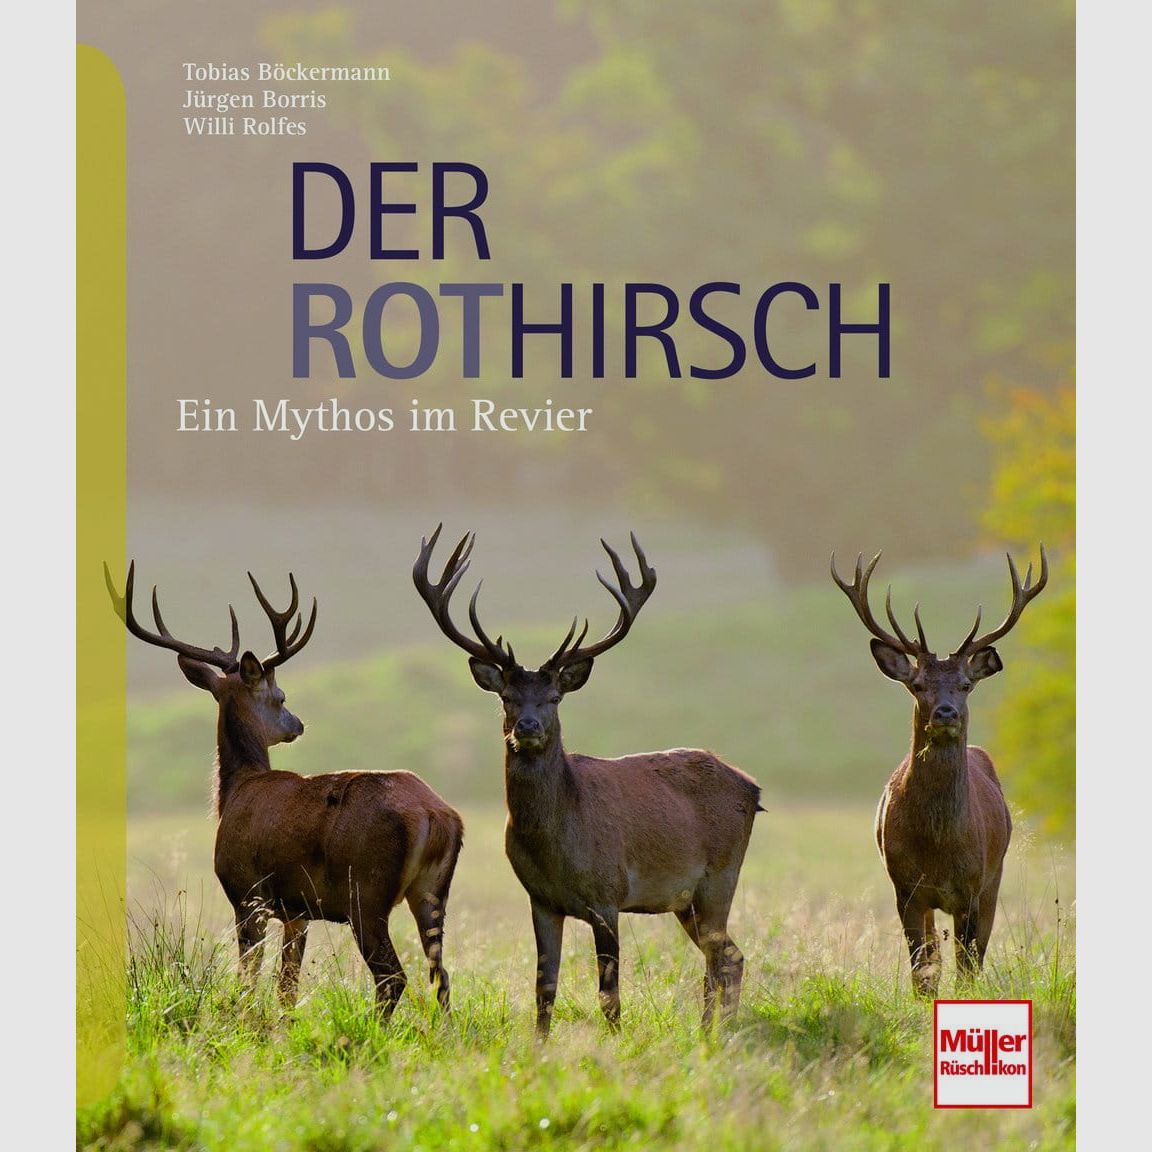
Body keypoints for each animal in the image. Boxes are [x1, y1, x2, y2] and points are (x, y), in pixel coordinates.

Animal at [105, 561, 464, 1018]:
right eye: (281, 697)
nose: (298, 724)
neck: (237, 790)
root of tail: (436, 816)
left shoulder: (247, 894)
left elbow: (248, 980)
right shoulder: (298, 911)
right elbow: (286, 988)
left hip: (365, 892)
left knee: (392, 978)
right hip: (431, 892)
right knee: (442, 977)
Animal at [412, 526, 762, 1038]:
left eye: (555, 697)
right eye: (507, 697)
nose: (528, 727)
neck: (558, 846)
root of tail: (752, 789)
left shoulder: (608, 895)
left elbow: (609, 994)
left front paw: (615, 1045)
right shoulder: (540, 899)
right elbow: (544, 989)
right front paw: (538, 1047)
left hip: (721, 875)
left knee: (723, 959)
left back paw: (714, 1032)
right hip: (687, 901)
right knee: (729, 957)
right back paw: (715, 1030)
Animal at [830, 547, 1048, 996]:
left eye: (966, 684)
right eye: (917, 685)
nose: (945, 712)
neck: (940, 845)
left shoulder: (973, 887)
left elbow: (967, 968)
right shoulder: (906, 888)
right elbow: (923, 970)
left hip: (995, 877)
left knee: (975, 954)